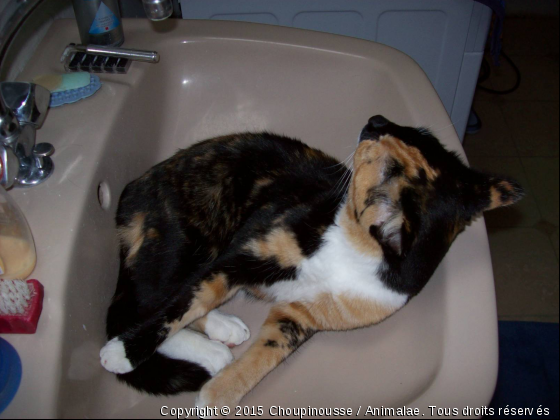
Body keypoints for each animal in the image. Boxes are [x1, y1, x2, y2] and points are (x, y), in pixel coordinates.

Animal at [98, 114, 524, 406]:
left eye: (374, 150)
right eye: (416, 133)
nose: (376, 120)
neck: (355, 248)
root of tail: (133, 191)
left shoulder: (298, 319)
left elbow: (262, 360)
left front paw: (216, 397)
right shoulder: (245, 253)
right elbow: (185, 305)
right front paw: (124, 353)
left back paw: (221, 339)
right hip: (185, 241)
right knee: (143, 306)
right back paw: (192, 345)